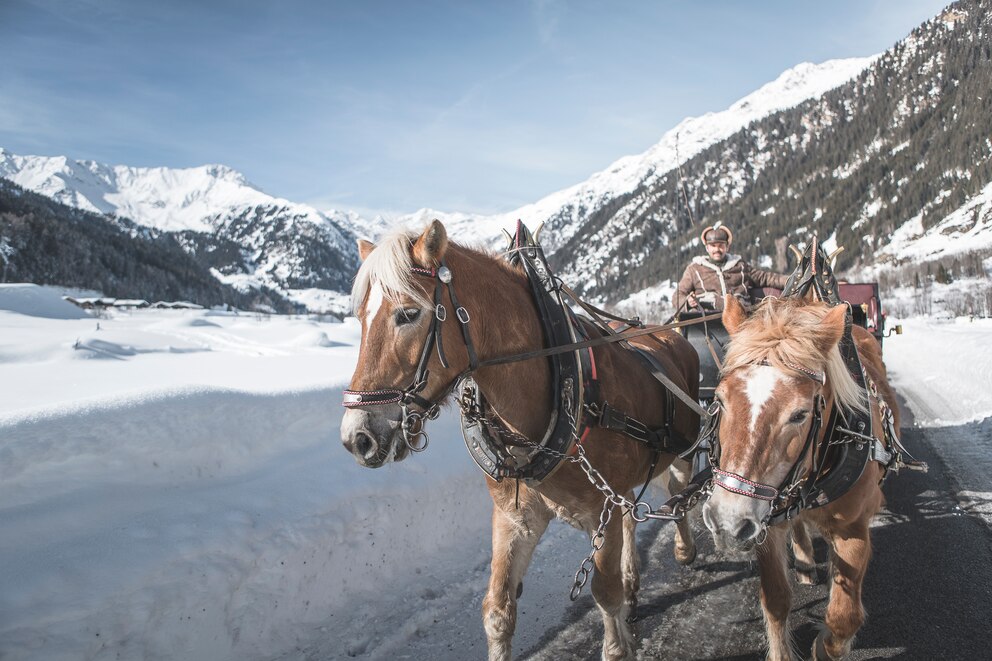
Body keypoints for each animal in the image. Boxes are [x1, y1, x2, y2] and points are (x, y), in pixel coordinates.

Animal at [344, 222, 700, 660]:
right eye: (360, 318)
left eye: (408, 313)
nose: (357, 437)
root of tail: (672, 334)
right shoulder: (514, 517)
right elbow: (498, 610)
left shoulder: (600, 510)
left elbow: (605, 593)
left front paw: (618, 644)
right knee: (634, 513)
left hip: (682, 451)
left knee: (680, 495)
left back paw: (684, 548)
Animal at [700, 296, 904, 660]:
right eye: (719, 400)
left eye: (799, 414)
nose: (727, 522)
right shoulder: (764, 520)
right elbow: (776, 600)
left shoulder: (854, 528)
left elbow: (844, 615)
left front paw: (826, 646)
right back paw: (806, 559)